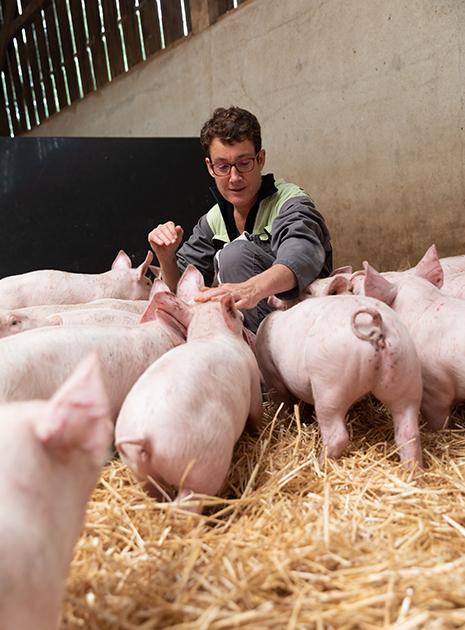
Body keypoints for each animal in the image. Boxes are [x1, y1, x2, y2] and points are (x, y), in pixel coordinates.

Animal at [114, 266, 262, 508]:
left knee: (153, 493)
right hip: (199, 467)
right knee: (187, 503)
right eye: (240, 316)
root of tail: (145, 436)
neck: (211, 333)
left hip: (138, 470)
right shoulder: (253, 383)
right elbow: (257, 415)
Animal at [256, 296, 422, 470]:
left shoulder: (271, 375)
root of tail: (376, 324)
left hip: (330, 385)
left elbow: (282, 403)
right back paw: (412, 470)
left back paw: (319, 464)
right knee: (408, 433)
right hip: (406, 372)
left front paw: (284, 423)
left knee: (337, 436)